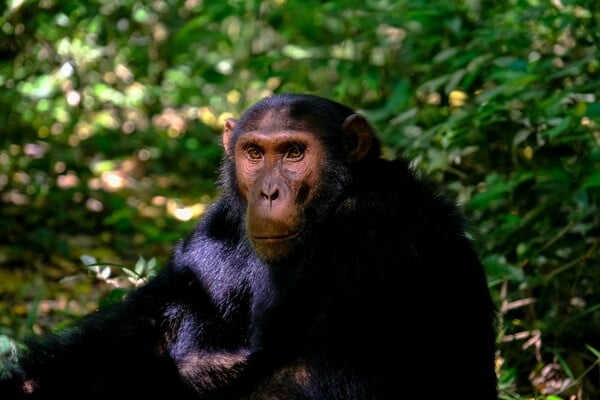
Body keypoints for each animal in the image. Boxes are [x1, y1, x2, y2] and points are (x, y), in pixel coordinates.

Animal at [0, 94, 496, 400]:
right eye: (255, 153)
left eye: (294, 153)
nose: (269, 192)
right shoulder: (220, 226)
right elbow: (148, 327)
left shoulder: (375, 228)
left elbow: (316, 374)